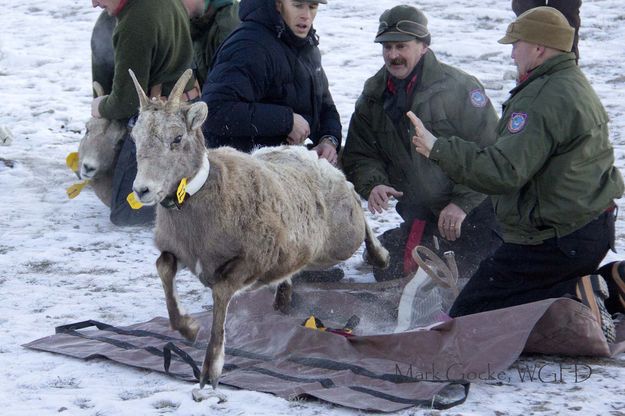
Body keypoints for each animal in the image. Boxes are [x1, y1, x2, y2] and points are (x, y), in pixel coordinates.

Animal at [128, 68, 390, 390]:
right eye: (136, 138)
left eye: (176, 138)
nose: (142, 190)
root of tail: (312, 157)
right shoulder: (174, 251)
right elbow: (163, 268)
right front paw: (188, 329)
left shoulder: (247, 264)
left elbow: (220, 295)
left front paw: (211, 371)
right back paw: (283, 298)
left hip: (341, 240)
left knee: (357, 203)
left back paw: (381, 257)